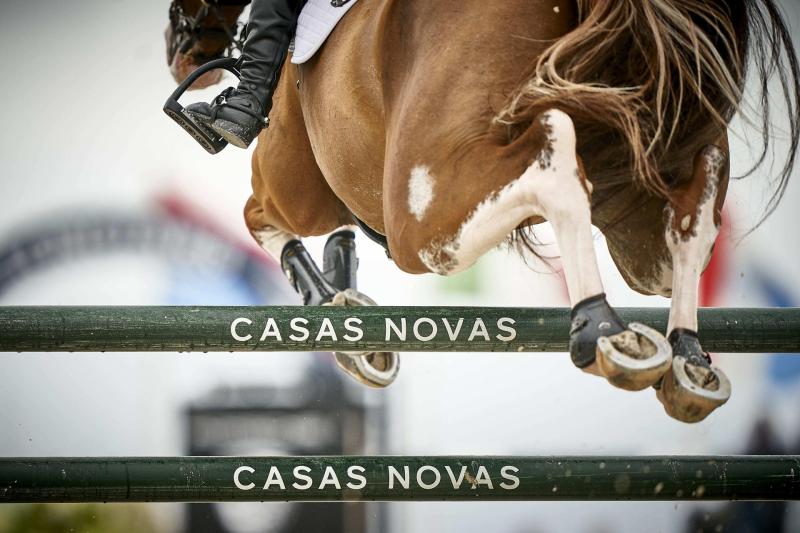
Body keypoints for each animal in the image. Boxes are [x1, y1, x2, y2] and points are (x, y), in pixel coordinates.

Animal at [165, 0, 800, 423]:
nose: (177, 45)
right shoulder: (636, 214)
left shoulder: (303, 175)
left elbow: (260, 217)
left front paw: (336, 311)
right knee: (688, 221)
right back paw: (687, 363)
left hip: (406, 211)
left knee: (553, 157)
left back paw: (602, 329)